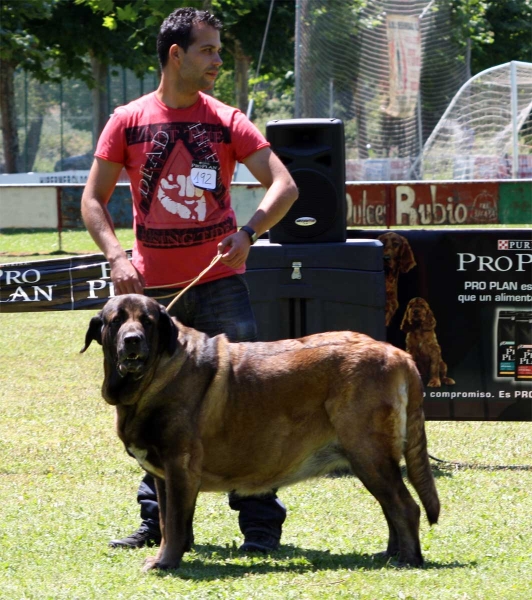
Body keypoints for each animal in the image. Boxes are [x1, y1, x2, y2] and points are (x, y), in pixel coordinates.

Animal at [81, 294, 438, 572]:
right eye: (116, 321)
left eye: (148, 321)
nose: (132, 340)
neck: (153, 377)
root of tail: (397, 353)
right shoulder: (164, 476)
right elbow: (168, 522)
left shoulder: (179, 466)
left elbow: (176, 523)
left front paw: (165, 562)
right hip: (370, 460)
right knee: (391, 506)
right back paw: (390, 554)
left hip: (369, 454)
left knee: (404, 506)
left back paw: (408, 559)